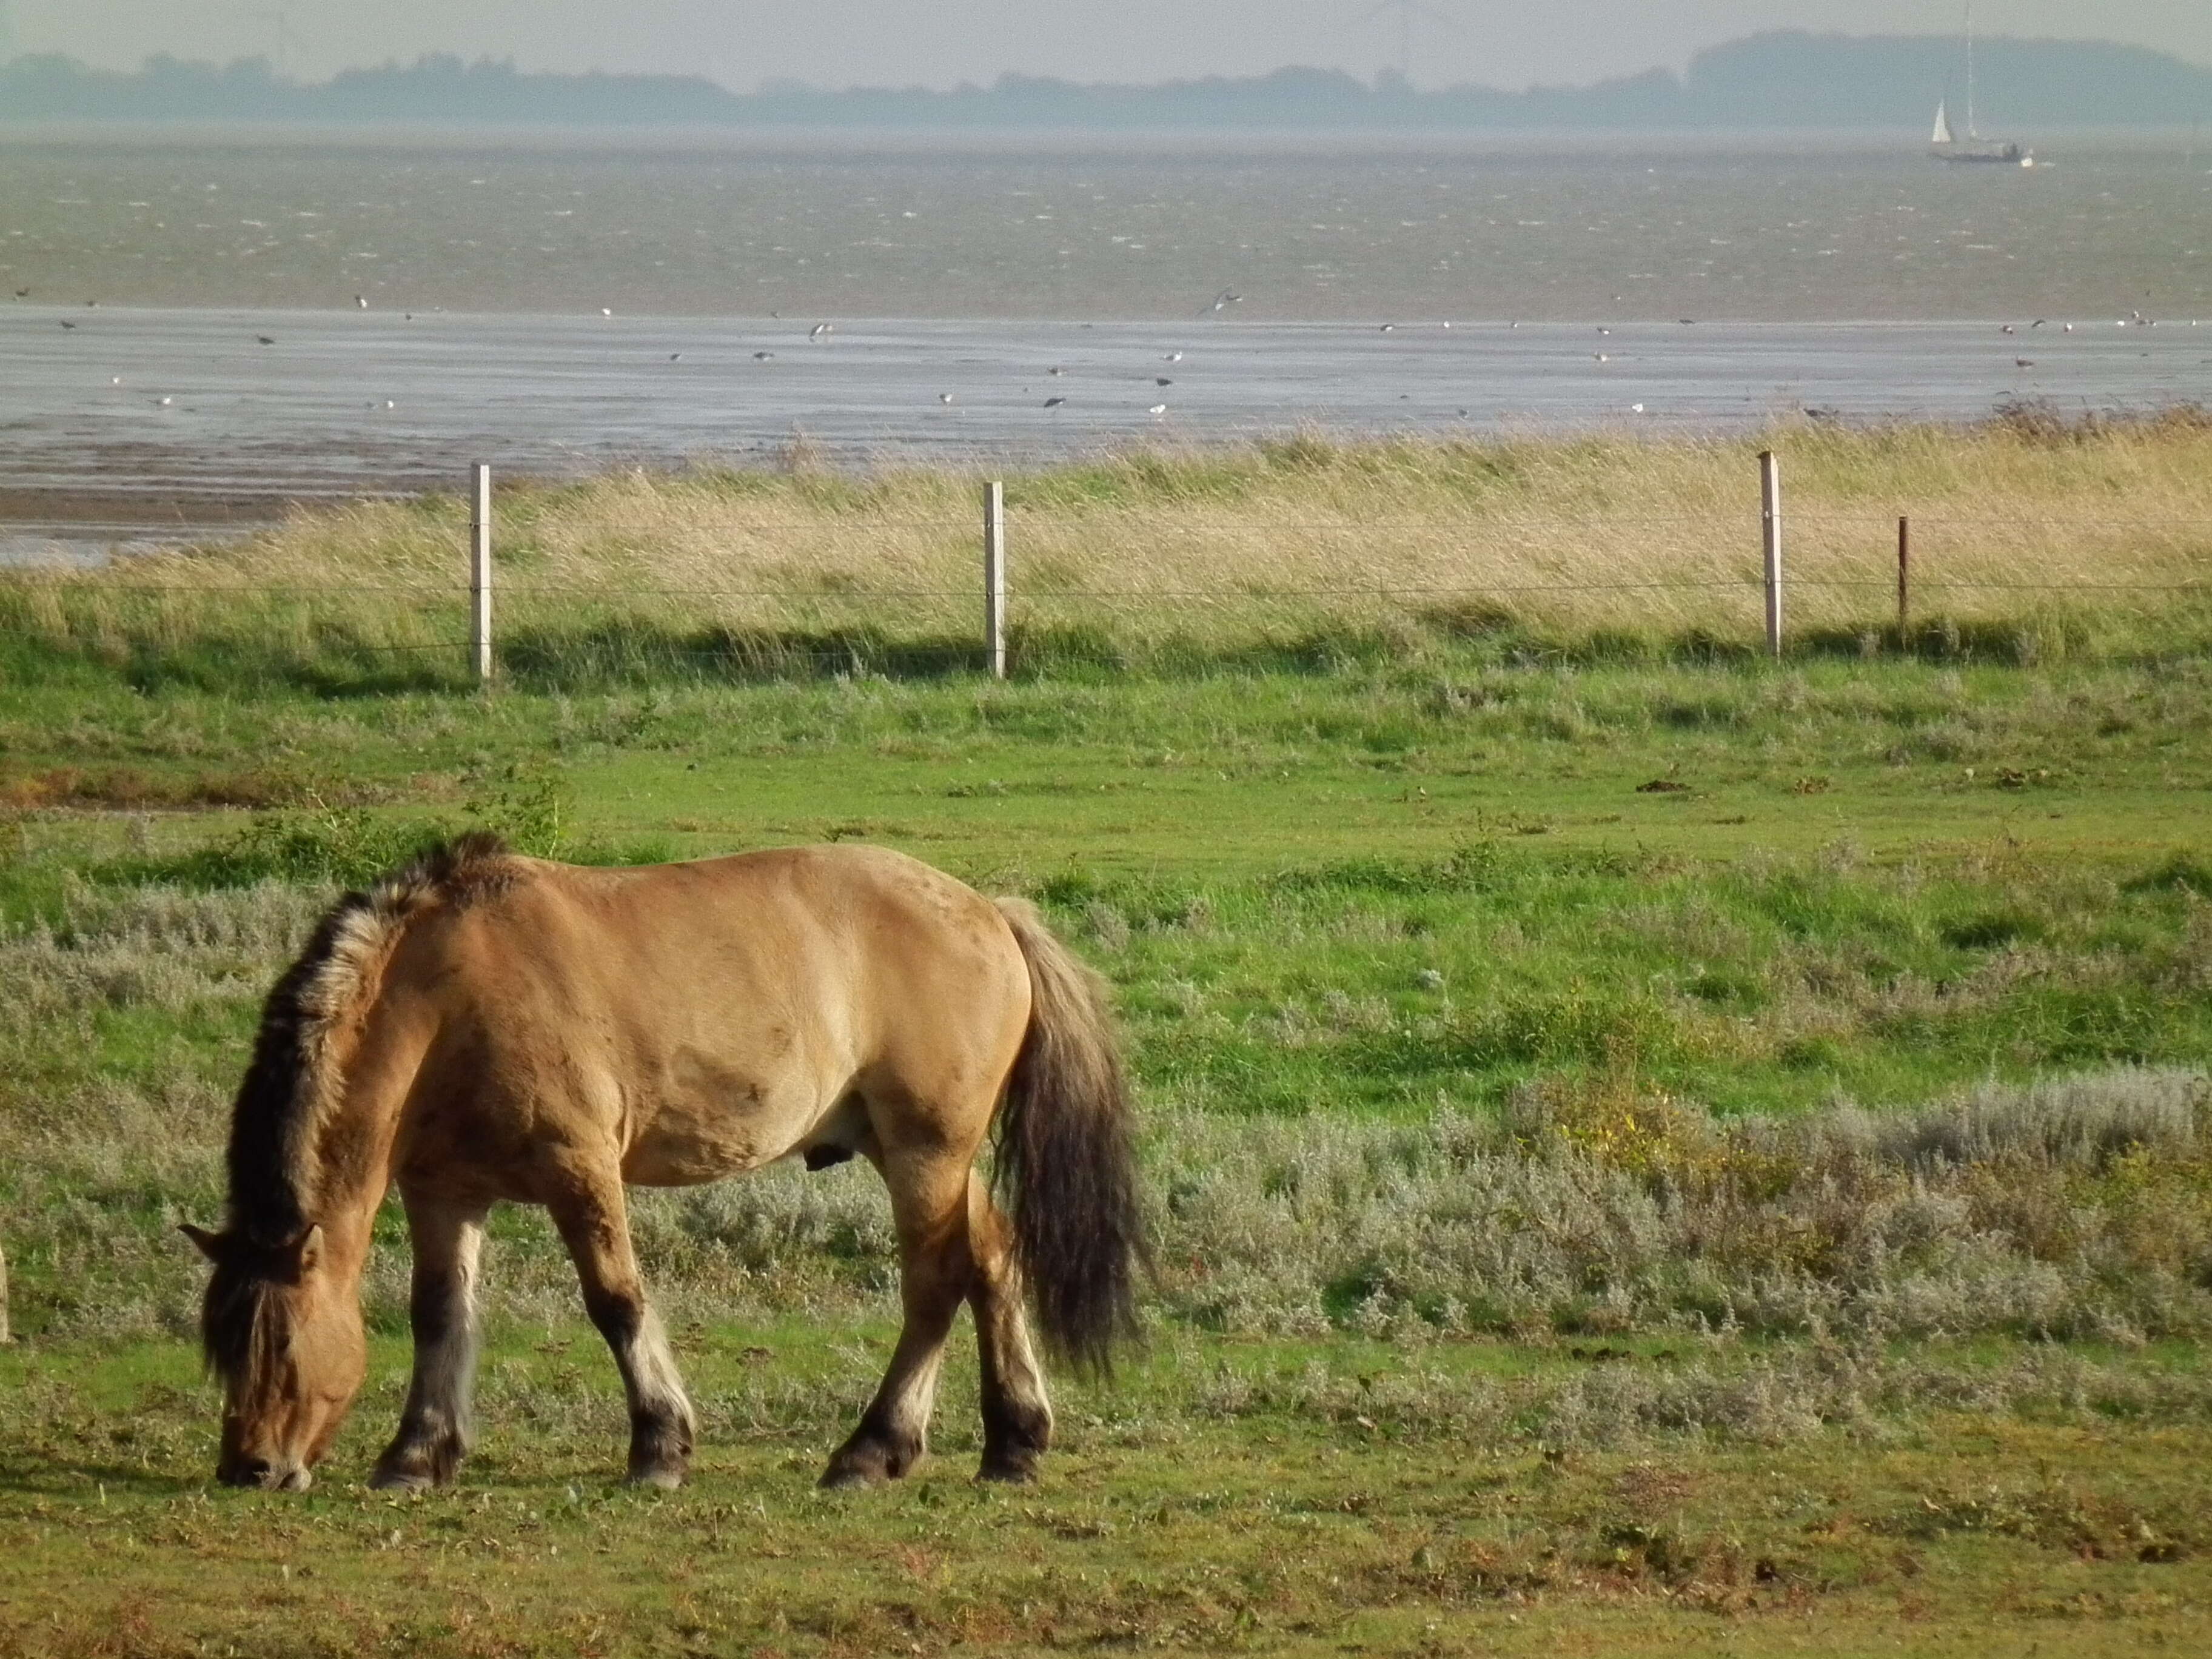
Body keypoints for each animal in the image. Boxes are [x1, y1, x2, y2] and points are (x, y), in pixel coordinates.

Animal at [183, 836, 1150, 1504]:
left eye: (278, 1342)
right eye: (222, 1346)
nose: (248, 1467)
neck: (448, 995)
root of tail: (989, 911)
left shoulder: (580, 1170)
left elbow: (616, 1301)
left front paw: (660, 1449)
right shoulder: (444, 1190)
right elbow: (438, 1316)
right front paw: (417, 1456)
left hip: (925, 1151)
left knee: (936, 1283)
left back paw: (872, 1451)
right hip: (917, 1151)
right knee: (991, 1259)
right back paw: (1013, 1444)